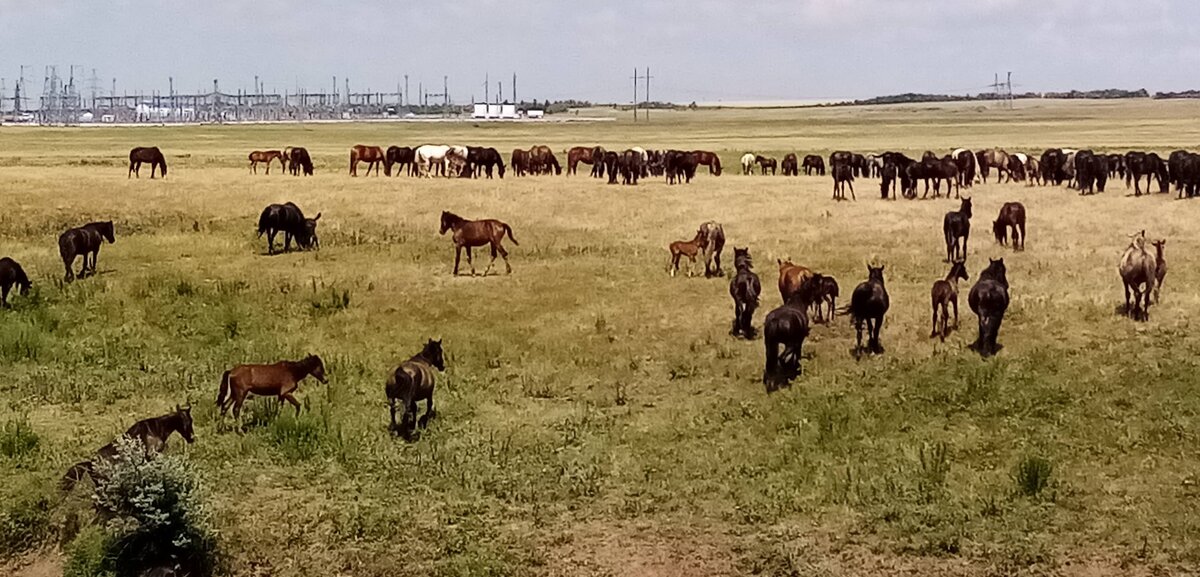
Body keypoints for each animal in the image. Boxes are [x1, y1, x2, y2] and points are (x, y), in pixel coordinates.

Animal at [61, 405, 194, 489]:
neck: (155, 429)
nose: (192, 438)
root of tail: (90, 464)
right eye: (187, 421)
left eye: (190, 420)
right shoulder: (152, 455)